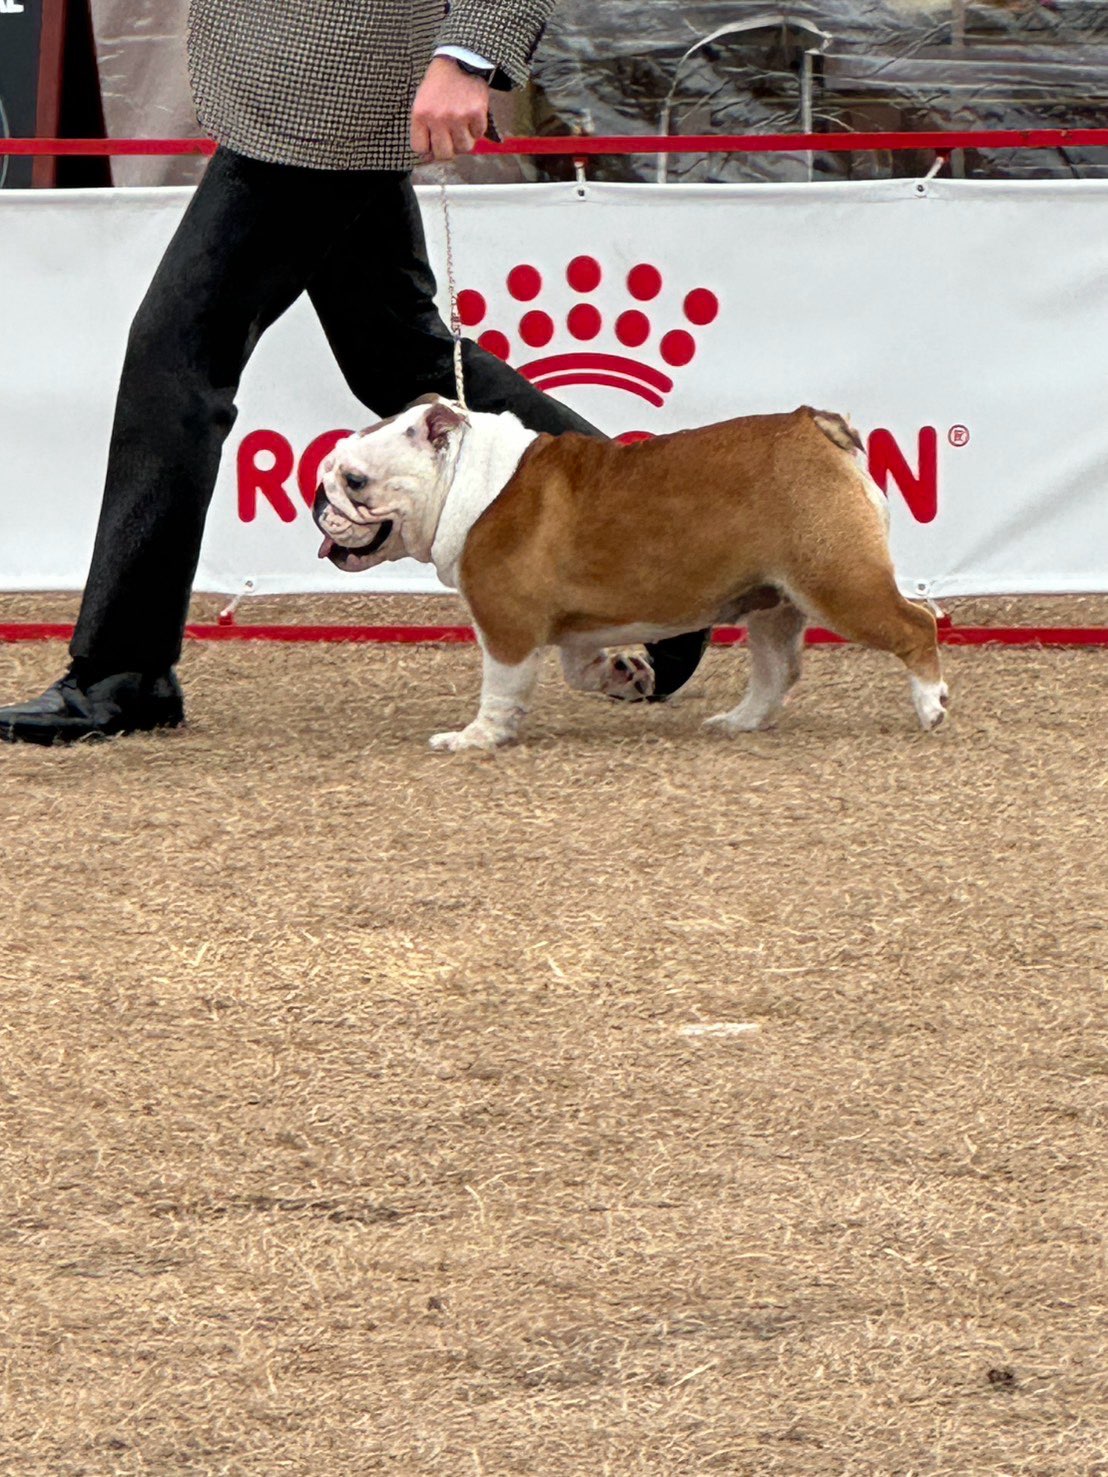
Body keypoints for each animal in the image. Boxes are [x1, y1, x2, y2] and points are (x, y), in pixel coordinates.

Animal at [313, 397, 948, 752]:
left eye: (355, 480)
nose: (319, 499)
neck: (468, 480)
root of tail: (814, 426)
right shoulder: (572, 628)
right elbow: (581, 670)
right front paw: (624, 673)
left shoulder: (506, 626)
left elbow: (499, 689)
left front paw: (477, 738)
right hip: (776, 600)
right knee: (777, 671)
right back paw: (739, 722)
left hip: (840, 586)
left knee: (917, 626)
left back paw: (931, 705)